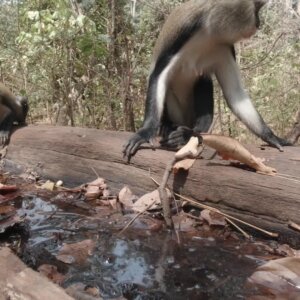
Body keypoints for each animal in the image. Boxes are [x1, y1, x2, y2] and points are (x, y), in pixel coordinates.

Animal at [123, 0, 292, 161]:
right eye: (256, 9)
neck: (210, 32)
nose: (258, 23)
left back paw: (189, 134)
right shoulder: (184, 33)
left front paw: (271, 136)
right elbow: (158, 77)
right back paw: (168, 126)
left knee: (203, 79)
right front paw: (144, 133)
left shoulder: (225, 48)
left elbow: (235, 93)